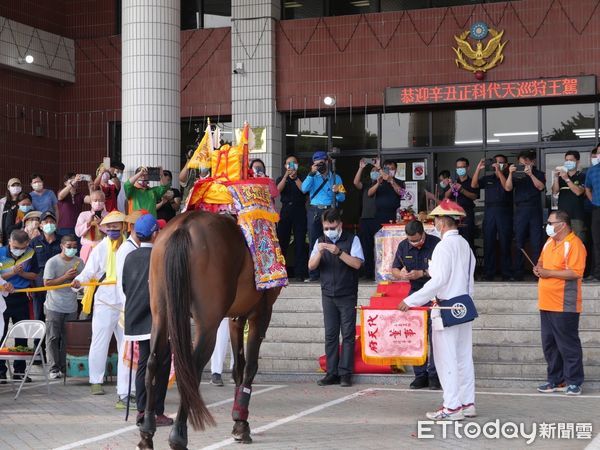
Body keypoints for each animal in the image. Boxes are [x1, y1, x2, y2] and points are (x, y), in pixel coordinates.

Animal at [137, 212, 282, 450]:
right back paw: (178, 435)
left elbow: (238, 367)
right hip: (208, 324)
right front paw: (241, 424)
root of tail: (184, 226)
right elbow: (250, 367)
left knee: (153, 361)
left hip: (161, 313)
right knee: (191, 369)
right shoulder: (261, 313)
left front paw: (238, 421)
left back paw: (147, 432)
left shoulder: (236, 317)